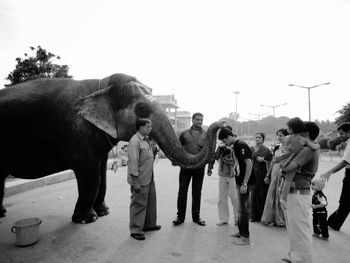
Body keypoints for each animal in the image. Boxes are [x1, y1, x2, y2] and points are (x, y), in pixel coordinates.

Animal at [0, 73, 223, 225]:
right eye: (142, 109)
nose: (222, 124)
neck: (101, 84)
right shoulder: (78, 132)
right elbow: (90, 175)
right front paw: (87, 219)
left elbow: (102, 174)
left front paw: (103, 212)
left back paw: (1, 213)